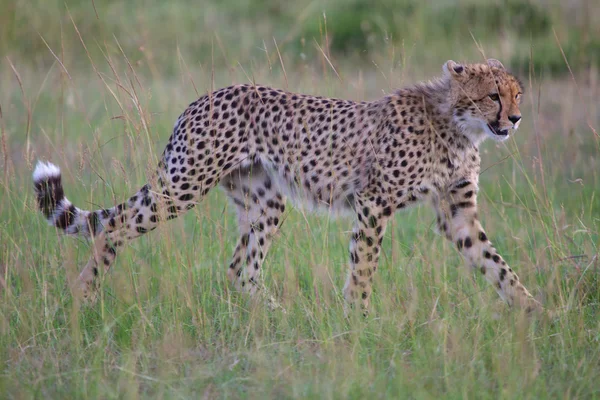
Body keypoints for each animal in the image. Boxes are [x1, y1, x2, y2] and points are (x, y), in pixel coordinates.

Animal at [32, 59, 544, 314]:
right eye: (494, 96)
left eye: (518, 94)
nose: (518, 119)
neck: (457, 124)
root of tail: (202, 98)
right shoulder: (374, 202)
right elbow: (364, 267)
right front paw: (358, 321)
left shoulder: (457, 212)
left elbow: (498, 265)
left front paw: (538, 315)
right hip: (183, 186)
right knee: (113, 227)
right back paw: (84, 296)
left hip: (266, 202)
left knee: (241, 269)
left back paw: (277, 315)